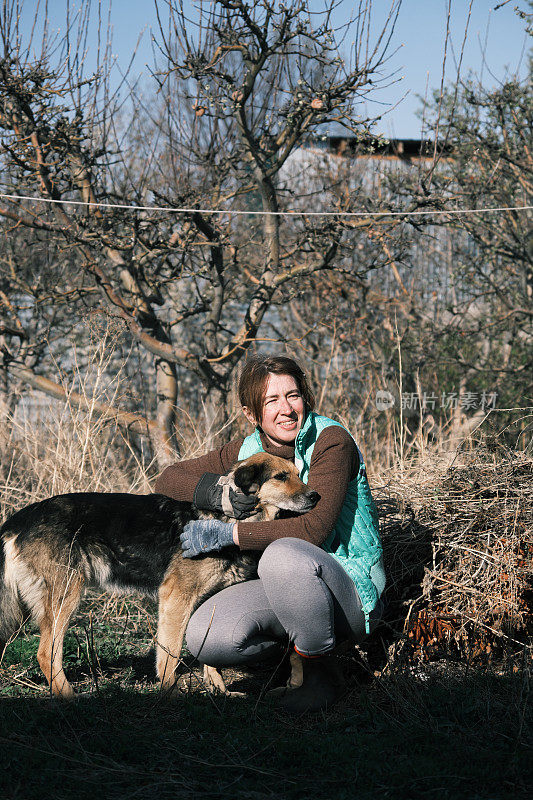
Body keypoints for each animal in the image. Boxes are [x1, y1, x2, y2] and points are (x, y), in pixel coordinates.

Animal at [0, 454, 316, 696]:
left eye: (298, 475)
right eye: (281, 477)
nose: (315, 495)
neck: (229, 521)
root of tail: (20, 518)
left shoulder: (205, 602)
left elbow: (207, 653)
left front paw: (219, 691)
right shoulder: (176, 597)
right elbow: (170, 653)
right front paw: (171, 695)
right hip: (66, 595)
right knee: (46, 653)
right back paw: (69, 698)